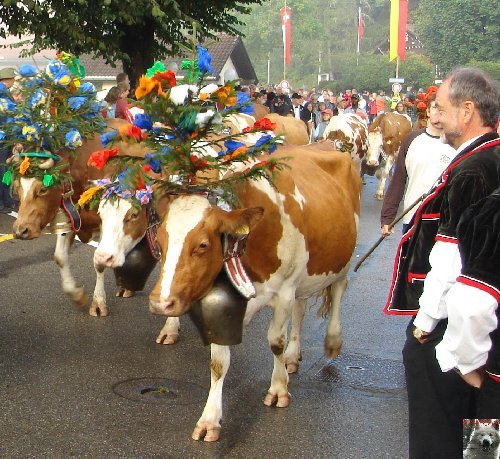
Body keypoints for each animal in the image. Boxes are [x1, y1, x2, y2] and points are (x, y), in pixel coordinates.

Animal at [11, 119, 146, 316]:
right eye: (17, 188)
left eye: (42, 189)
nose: (20, 230)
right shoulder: (69, 217)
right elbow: (59, 257)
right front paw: (77, 295)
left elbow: (99, 262)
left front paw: (98, 304)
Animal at [147, 146, 360, 442]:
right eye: (161, 241)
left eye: (202, 245)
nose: (160, 303)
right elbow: (218, 362)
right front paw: (210, 419)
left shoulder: (284, 291)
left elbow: (275, 342)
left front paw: (278, 389)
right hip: (305, 277)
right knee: (301, 308)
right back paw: (293, 356)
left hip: (343, 262)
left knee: (339, 291)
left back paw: (332, 342)